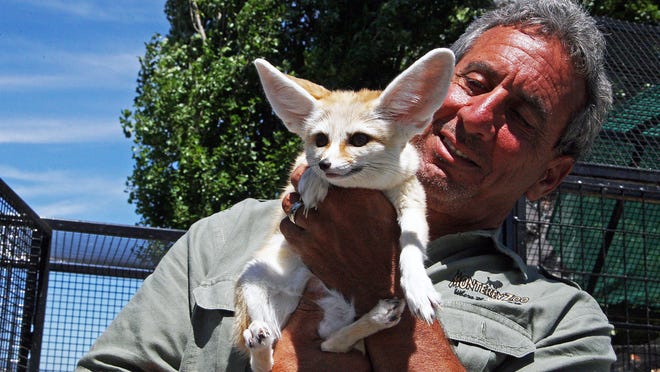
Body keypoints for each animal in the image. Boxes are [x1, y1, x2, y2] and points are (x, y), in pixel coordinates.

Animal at [232, 48, 454, 370]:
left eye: (359, 139)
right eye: (320, 140)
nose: (326, 164)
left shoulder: (411, 196)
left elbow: (411, 244)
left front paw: (417, 285)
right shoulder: (294, 176)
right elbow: (304, 167)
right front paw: (314, 181)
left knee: (330, 344)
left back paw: (377, 317)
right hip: (254, 279)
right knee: (265, 356)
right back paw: (260, 340)